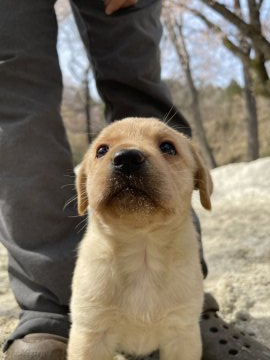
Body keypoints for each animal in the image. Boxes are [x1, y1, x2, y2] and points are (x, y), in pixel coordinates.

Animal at [67, 117, 211, 360]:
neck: (142, 252)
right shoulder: (91, 332)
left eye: (167, 147)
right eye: (101, 150)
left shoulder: (182, 333)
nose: (126, 159)